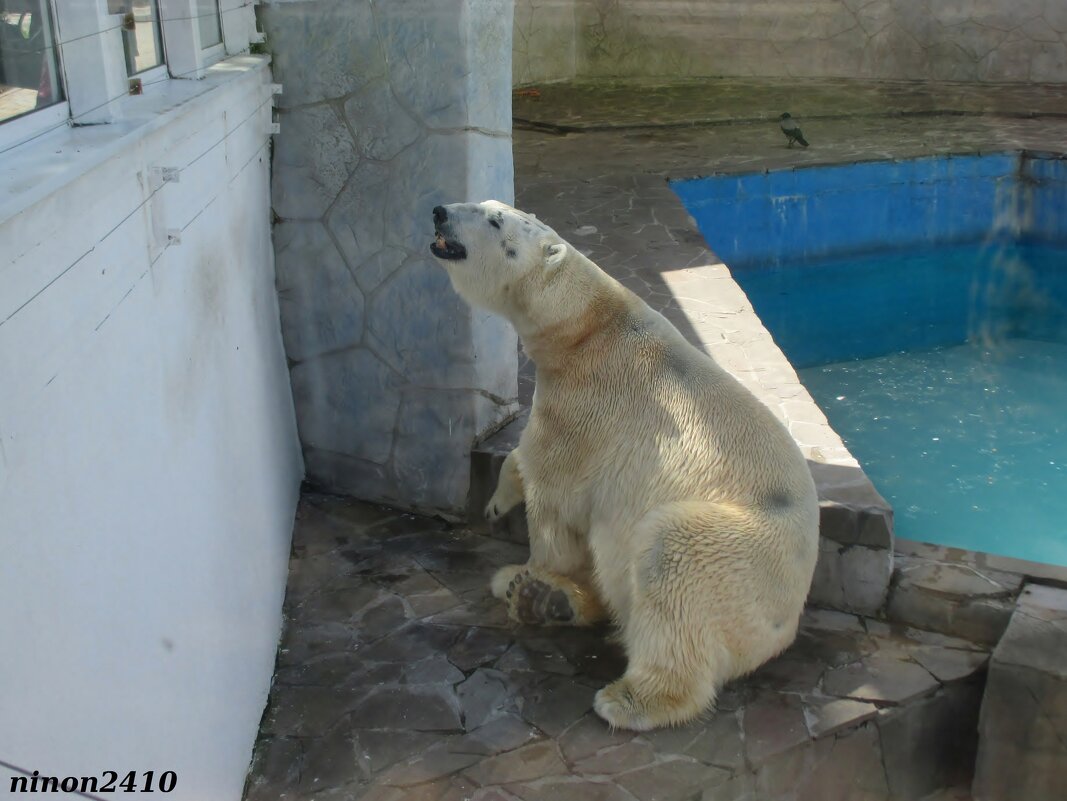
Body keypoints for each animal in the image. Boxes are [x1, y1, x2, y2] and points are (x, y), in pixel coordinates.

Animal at [428, 201, 819, 733]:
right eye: (487, 207)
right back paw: (552, 605)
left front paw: (528, 570)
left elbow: (554, 499)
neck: (586, 325)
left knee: (671, 562)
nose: (439, 212)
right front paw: (498, 509)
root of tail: (785, 625)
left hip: (740, 557)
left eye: (493, 221)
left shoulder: (584, 405)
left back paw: (626, 694)